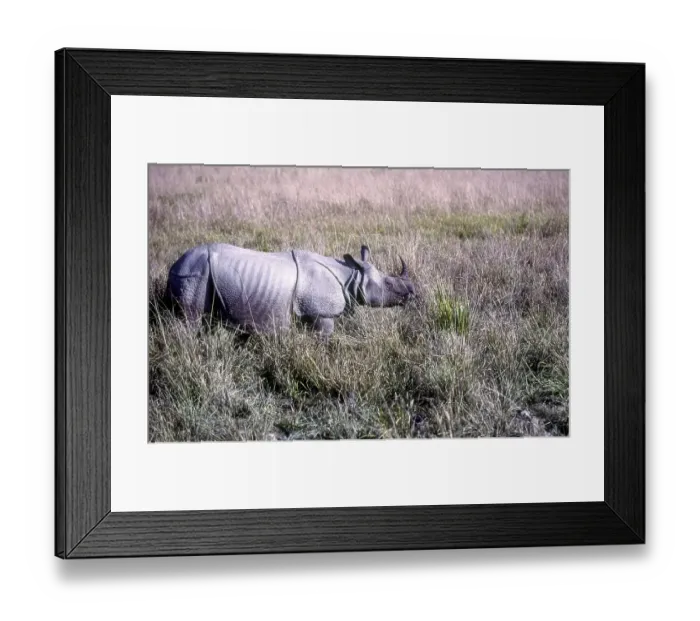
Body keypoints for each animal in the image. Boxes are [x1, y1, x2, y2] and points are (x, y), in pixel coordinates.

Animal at [166, 242, 416, 336]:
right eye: (388, 284)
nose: (412, 294)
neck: (352, 276)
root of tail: (174, 265)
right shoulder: (321, 312)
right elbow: (325, 335)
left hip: (196, 273)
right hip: (195, 274)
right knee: (190, 316)